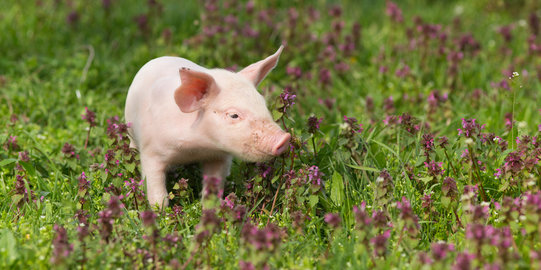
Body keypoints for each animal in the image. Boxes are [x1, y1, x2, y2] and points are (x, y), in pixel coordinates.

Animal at [125, 46, 292, 209]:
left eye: (263, 104)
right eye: (233, 115)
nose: (284, 138)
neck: (196, 149)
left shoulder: (219, 157)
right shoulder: (151, 151)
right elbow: (156, 188)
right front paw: (160, 211)